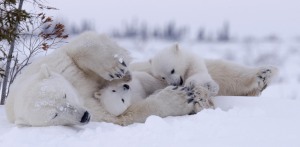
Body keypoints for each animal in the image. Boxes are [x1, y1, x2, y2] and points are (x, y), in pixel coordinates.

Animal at [5, 31, 204, 126]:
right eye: (54, 115)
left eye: (64, 95)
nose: (84, 116)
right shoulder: (96, 112)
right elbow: (121, 115)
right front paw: (179, 99)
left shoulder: (56, 64)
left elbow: (80, 46)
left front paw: (116, 69)